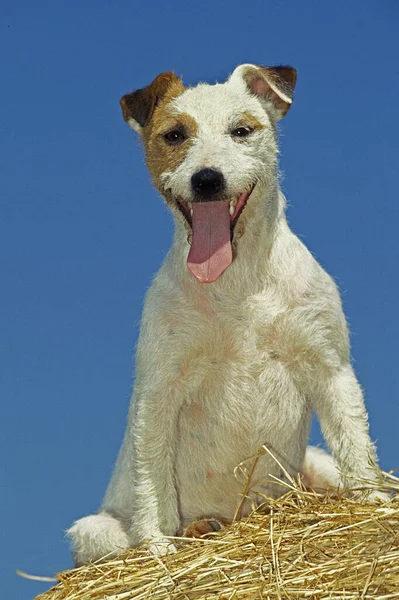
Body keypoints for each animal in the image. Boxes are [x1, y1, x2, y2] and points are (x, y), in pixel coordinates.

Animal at [67, 67, 386, 568]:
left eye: (242, 130)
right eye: (175, 135)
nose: (207, 180)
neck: (239, 286)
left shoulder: (330, 368)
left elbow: (356, 446)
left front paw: (372, 504)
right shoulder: (158, 393)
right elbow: (152, 487)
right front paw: (160, 549)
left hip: (314, 461)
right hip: (94, 531)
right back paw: (199, 528)